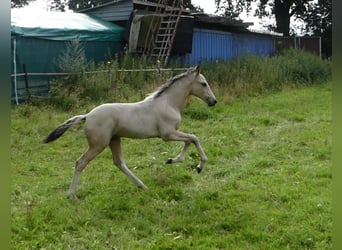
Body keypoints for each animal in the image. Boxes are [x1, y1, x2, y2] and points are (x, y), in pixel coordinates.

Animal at [43, 66, 216, 199]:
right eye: (203, 83)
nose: (213, 101)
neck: (168, 103)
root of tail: (87, 116)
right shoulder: (168, 134)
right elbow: (194, 138)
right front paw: (199, 166)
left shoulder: (173, 133)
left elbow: (189, 141)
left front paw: (172, 160)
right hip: (98, 145)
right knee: (81, 162)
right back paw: (72, 195)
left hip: (114, 139)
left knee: (119, 162)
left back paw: (142, 186)